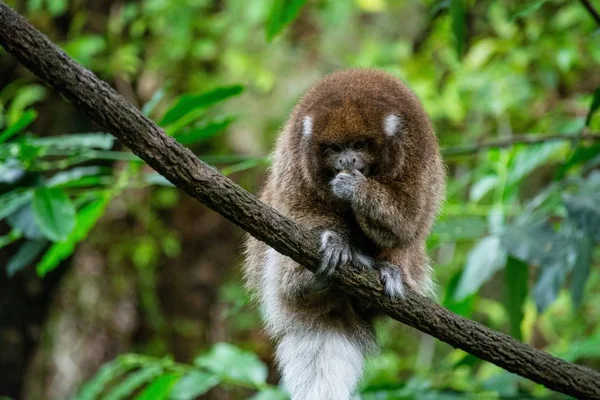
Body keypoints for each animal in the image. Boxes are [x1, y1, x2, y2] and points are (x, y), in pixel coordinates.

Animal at [244, 69, 446, 400]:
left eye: (360, 145)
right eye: (335, 149)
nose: (347, 161)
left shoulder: (417, 150)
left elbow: (409, 219)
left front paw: (355, 190)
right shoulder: (296, 151)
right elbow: (299, 208)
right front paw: (336, 242)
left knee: (409, 243)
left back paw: (388, 272)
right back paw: (310, 280)